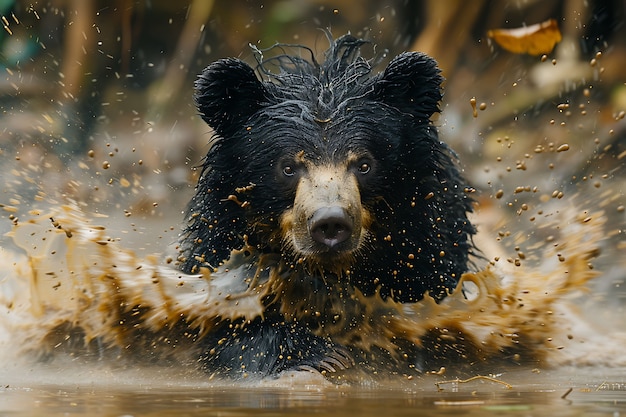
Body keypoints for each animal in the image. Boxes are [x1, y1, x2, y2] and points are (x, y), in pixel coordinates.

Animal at [176, 34, 472, 376]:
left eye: (365, 165)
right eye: (288, 167)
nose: (331, 223)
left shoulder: (426, 247)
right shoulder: (222, 240)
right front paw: (319, 354)